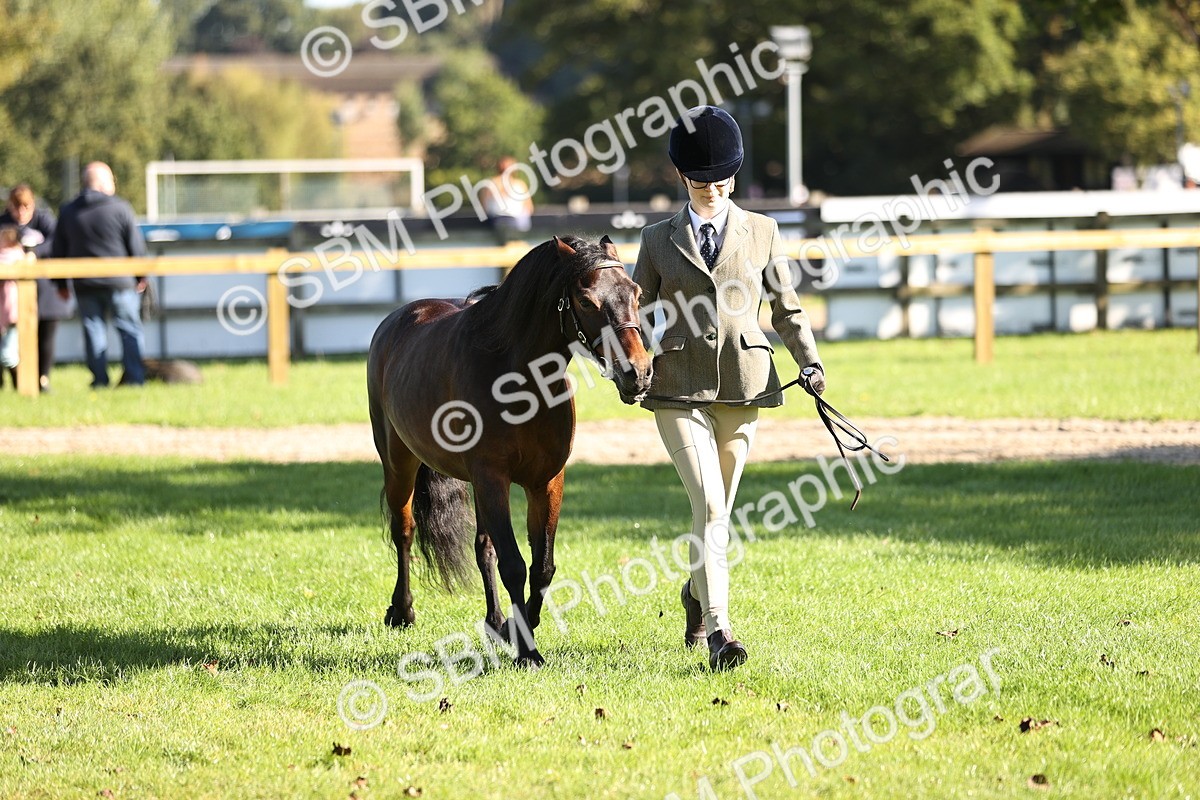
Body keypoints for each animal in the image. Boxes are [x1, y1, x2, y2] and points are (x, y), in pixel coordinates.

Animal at [366, 235, 653, 667]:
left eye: (636, 293)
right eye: (586, 301)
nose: (637, 373)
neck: (519, 379)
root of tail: (397, 320)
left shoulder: (546, 482)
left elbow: (542, 567)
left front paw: (517, 629)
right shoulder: (492, 478)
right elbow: (516, 565)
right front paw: (527, 651)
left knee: (483, 546)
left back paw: (494, 621)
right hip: (400, 463)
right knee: (404, 531)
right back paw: (402, 611)